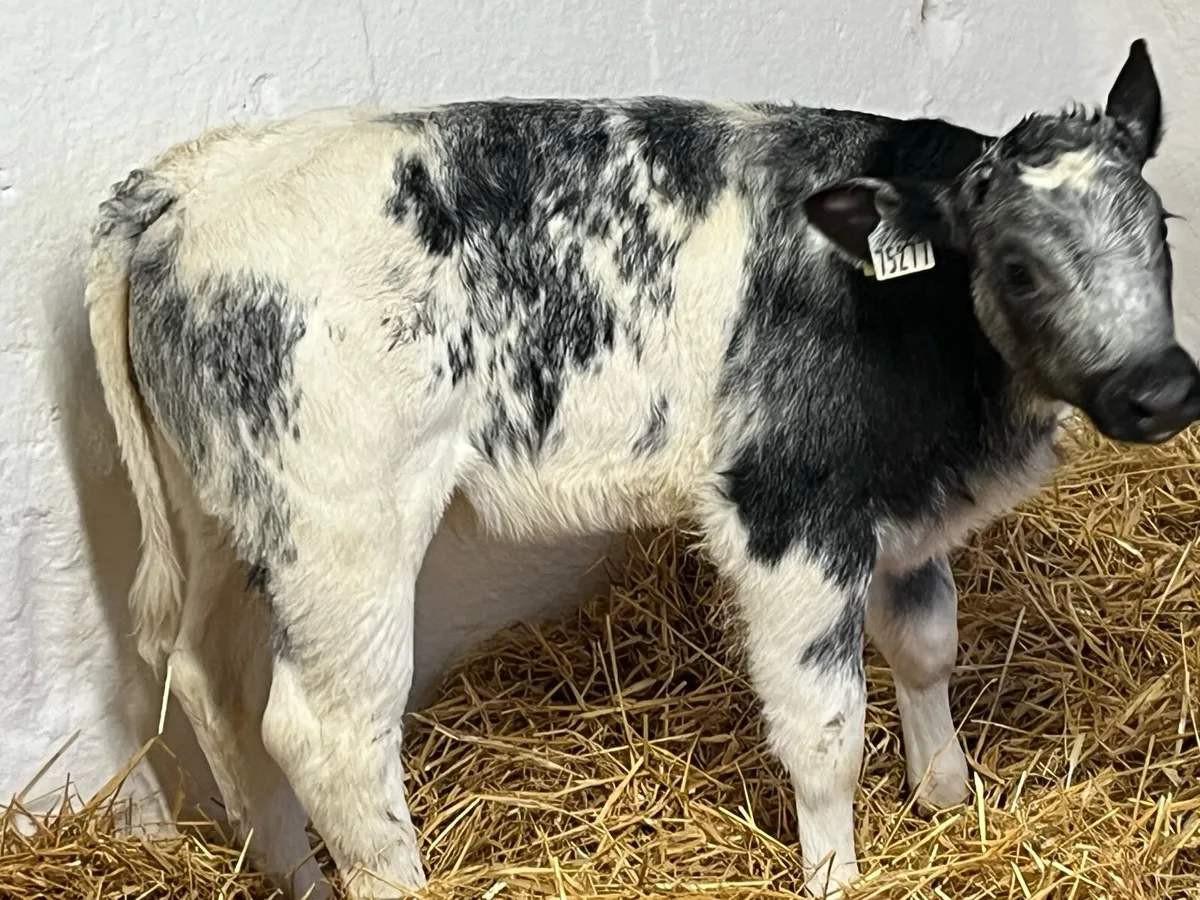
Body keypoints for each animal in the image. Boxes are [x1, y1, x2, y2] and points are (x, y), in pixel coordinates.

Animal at [84, 38, 1196, 899]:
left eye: (1161, 231)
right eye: (1017, 266)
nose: (1164, 388)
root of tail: (187, 180)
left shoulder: (905, 510)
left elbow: (925, 652)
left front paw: (950, 800)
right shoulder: (787, 514)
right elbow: (825, 729)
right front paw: (838, 873)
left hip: (222, 517)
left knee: (209, 683)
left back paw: (292, 875)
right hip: (341, 534)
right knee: (328, 735)